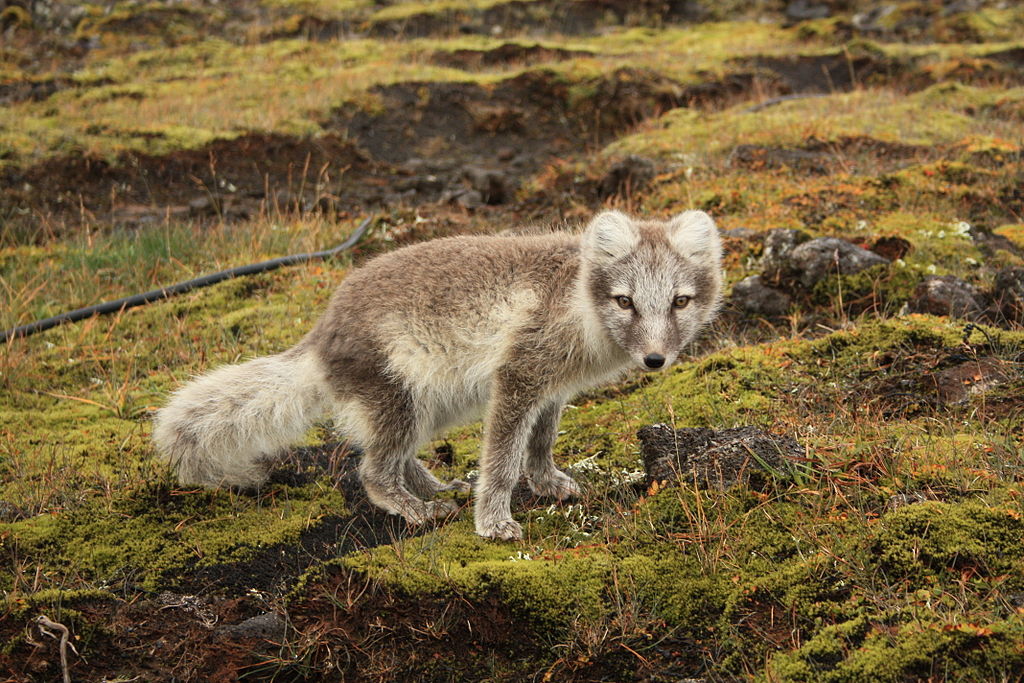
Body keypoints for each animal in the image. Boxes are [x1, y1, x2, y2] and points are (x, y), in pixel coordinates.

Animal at [152, 210, 723, 540]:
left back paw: (435, 486)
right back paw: (417, 509)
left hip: (431, 406)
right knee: (372, 471)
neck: (576, 303)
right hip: (401, 398)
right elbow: (502, 461)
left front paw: (547, 483)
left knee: (394, 456)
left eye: (680, 301)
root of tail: (321, 335)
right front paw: (493, 522)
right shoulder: (518, 377)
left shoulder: (550, 389)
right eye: (625, 301)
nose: (655, 360)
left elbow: (540, 444)